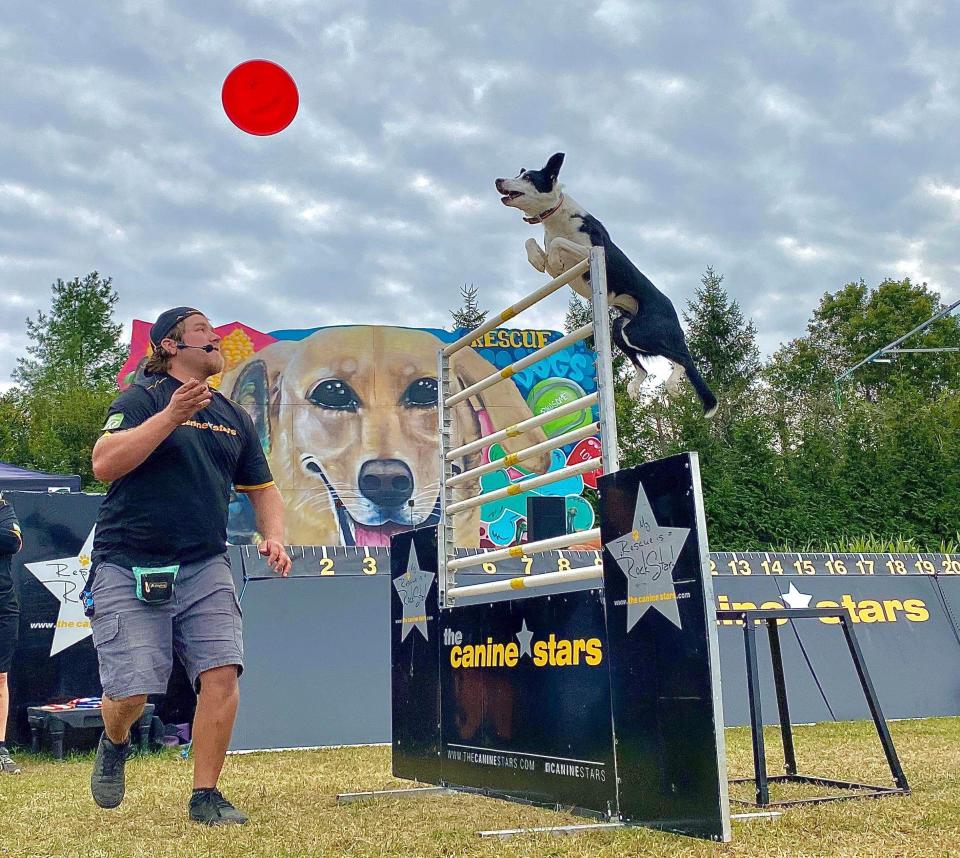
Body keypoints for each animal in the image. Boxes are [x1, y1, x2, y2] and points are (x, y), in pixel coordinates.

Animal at [498, 155, 716, 422]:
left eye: (528, 177)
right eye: (518, 175)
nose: (498, 180)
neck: (557, 217)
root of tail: (672, 310)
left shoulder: (592, 251)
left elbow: (560, 243)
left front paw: (553, 258)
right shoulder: (558, 273)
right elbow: (533, 244)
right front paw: (539, 260)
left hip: (641, 331)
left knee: (683, 358)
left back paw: (673, 383)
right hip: (619, 328)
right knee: (647, 367)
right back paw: (635, 388)